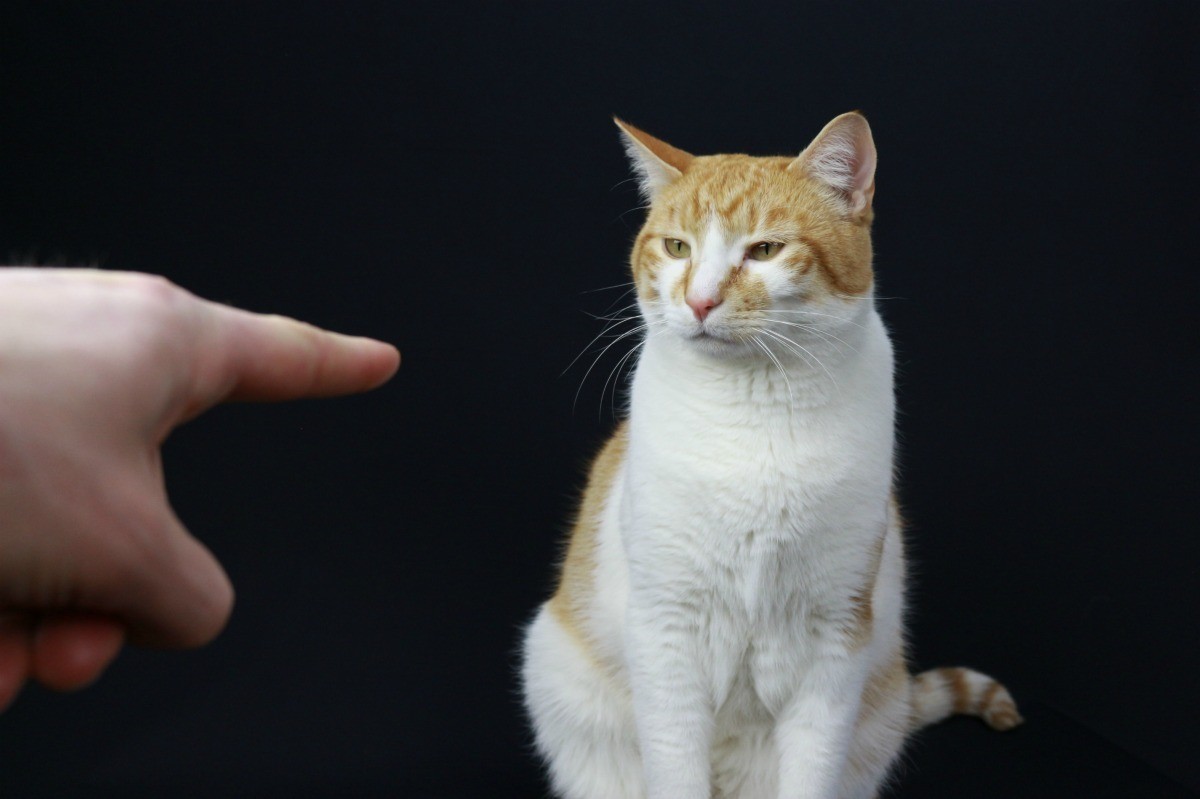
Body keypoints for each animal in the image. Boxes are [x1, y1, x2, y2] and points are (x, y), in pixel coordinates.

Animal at [520, 112, 1017, 796]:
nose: (699, 301)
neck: (753, 414)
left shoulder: (834, 636)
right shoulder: (667, 629)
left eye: (764, 251)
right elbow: (675, 768)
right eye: (677, 248)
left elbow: (811, 770)